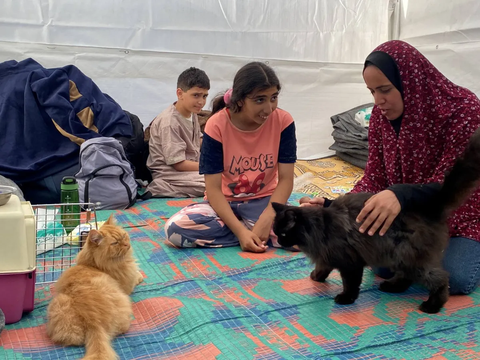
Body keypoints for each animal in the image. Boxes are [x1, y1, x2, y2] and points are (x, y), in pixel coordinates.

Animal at [45, 215, 143, 360]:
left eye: (124, 236)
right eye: (115, 243)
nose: (127, 245)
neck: (93, 264)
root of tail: (94, 323)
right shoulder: (128, 284)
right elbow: (136, 275)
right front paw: (140, 275)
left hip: (59, 303)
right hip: (124, 302)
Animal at [272, 128, 480, 314]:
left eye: (283, 233)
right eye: (277, 232)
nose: (279, 241)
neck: (319, 227)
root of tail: (431, 204)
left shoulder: (350, 262)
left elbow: (350, 284)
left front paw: (346, 299)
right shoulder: (327, 255)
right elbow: (323, 267)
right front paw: (316, 277)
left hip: (410, 257)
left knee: (441, 279)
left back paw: (432, 305)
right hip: (398, 256)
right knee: (407, 277)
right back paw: (392, 287)